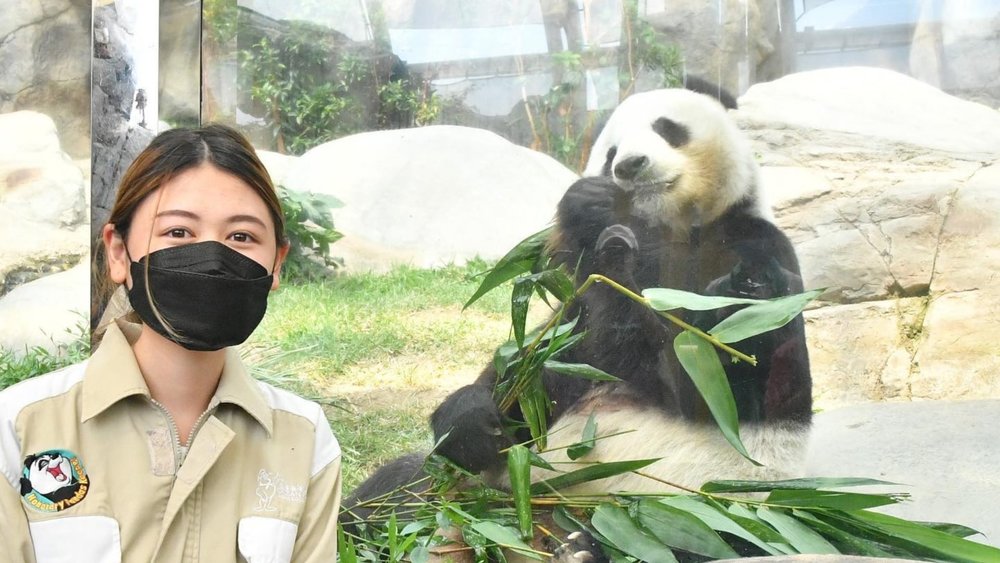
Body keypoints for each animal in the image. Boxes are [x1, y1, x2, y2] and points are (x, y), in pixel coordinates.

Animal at [341, 80, 812, 561]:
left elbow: (723, 376)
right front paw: (472, 419)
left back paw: (583, 548)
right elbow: (541, 378)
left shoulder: (748, 245)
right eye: (610, 153)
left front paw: (739, 294)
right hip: (453, 492)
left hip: (717, 512)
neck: (668, 229)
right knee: (391, 493)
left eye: (667, 128)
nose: (629, 166)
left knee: (697, 541)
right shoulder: (579, 307)